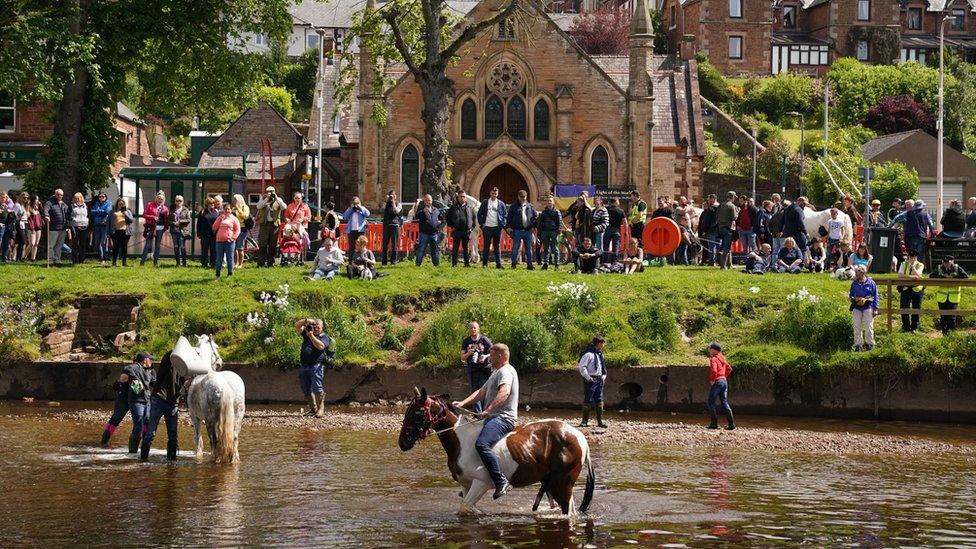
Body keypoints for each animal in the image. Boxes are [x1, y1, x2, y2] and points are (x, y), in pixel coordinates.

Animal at [396, 386, 596, 512]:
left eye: (418, 412)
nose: (402, 442)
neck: (461, 442)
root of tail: (579, 436)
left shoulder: (481, 483)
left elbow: (466, 508)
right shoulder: (466, 485)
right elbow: (467, 509)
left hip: (563, 483)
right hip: (550, 483)